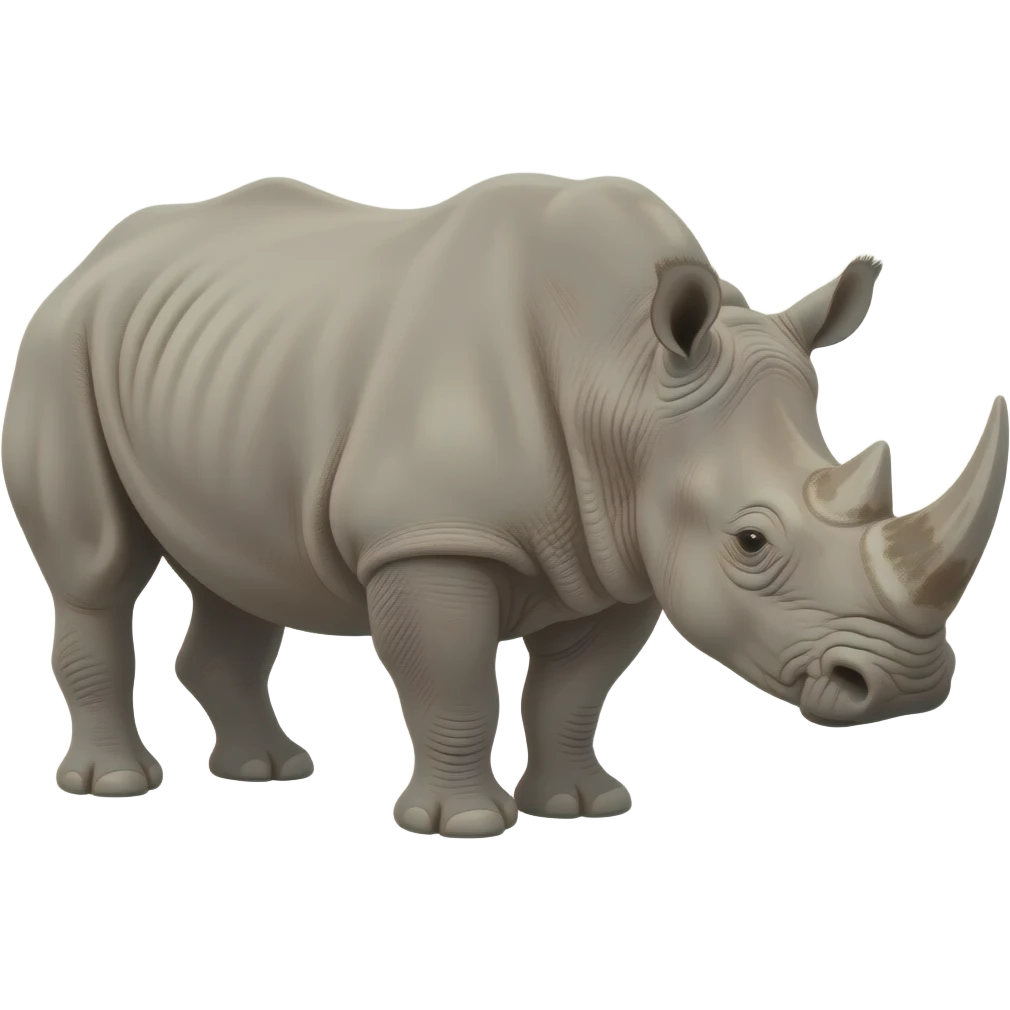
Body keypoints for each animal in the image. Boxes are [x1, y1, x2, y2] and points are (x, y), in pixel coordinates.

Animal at [5, 174, 1006, 831]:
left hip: (223, 368)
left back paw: (267, 771)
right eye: (751, 542)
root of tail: (94, 255)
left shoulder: (627, 548)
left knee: (240, 567)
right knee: (95, 570)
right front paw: (465, 824)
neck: (627, 379)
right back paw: (116, 786)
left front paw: (580, 805)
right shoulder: (430, 535)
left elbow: (573, 689)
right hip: (62, 342)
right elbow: (452, 677)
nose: (906, 688)